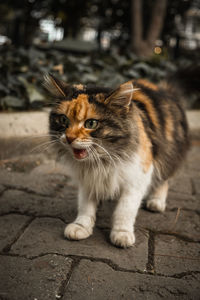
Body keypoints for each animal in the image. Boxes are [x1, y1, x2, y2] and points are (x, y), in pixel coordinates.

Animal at [44, 74, 190, 247]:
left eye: (91, 123)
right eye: (64, 120)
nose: (69, 138)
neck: (101, 160)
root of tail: (164, 88)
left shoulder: (138, 176)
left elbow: (125, 209)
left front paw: (122, 234)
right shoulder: (88, 179)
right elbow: (86, 206)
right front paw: (81, 226)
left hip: (168, 154)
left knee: (164, 180)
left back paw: (156, 202)